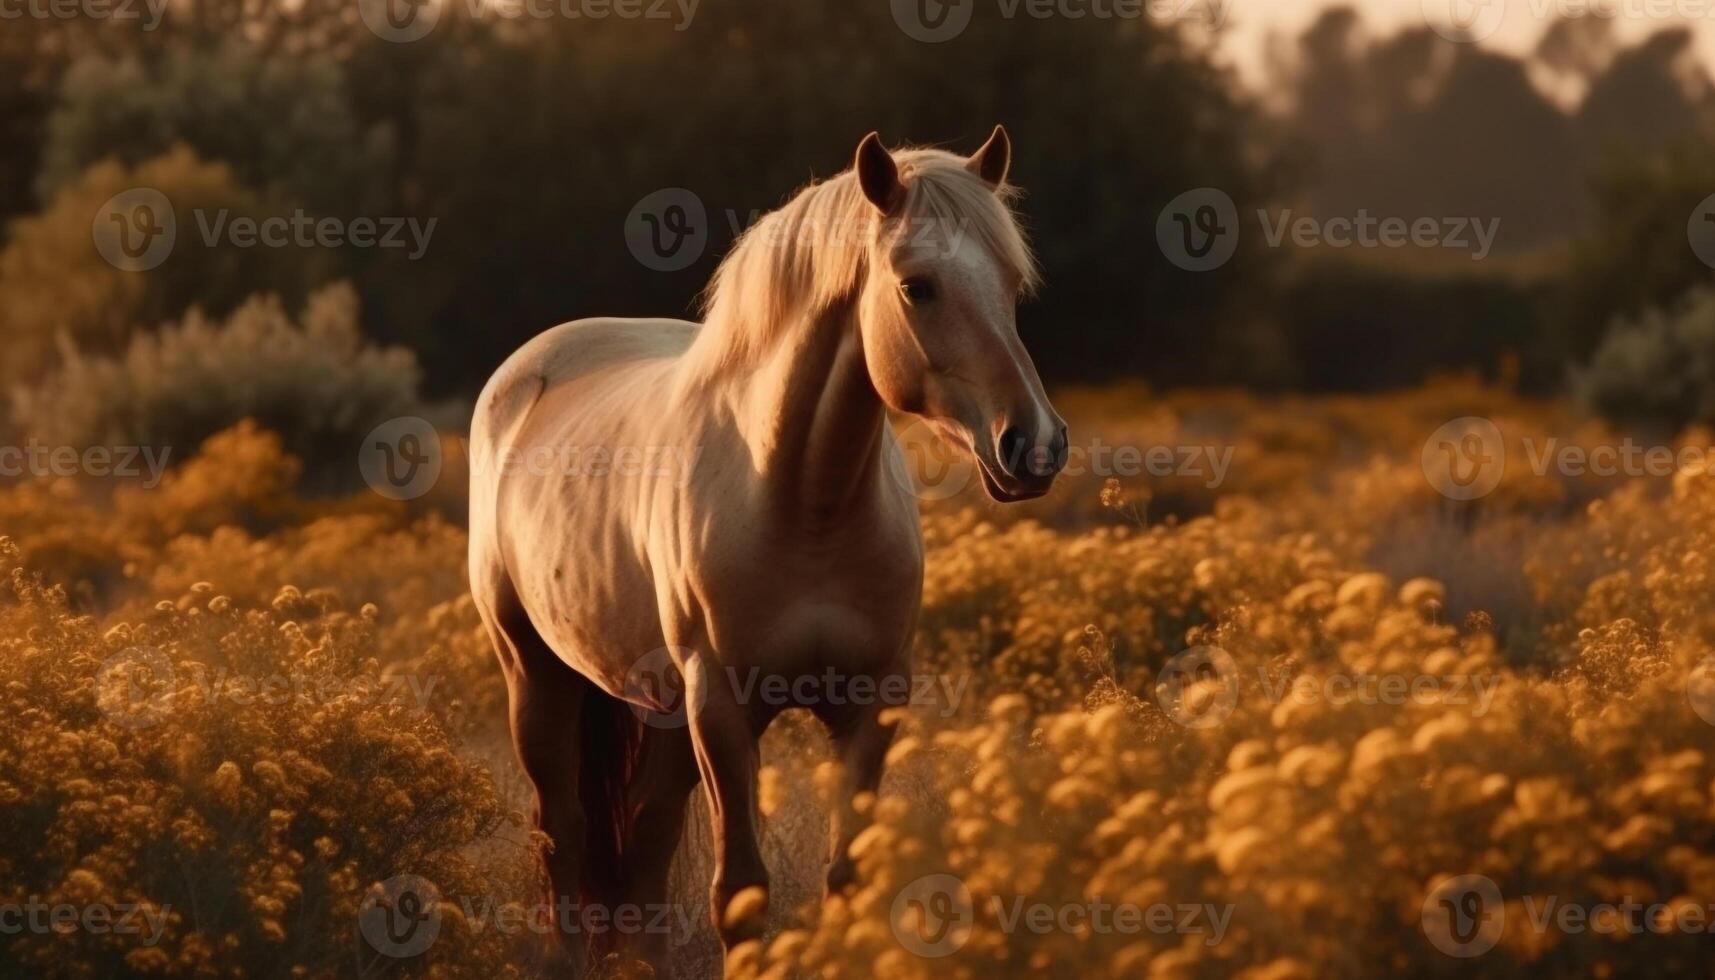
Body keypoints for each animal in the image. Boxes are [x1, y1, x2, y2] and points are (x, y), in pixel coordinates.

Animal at [463, 124, 1063, 974]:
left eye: (1012, 284)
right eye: (917, 287)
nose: (1035, 446)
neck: (803, 504)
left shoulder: (869, 705)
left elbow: (844, 875)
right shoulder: (720, 709)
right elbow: (739, 892)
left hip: (661, 709)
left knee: (644, 833)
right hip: (536, 673)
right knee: (564, 831)